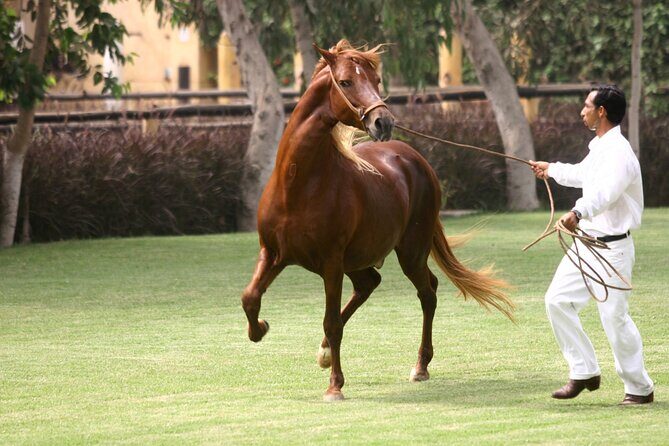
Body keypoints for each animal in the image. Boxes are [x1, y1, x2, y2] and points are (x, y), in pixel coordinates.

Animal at [241, 39, 515, 401]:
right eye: (345, 82)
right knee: (370, 284)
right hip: (358, 261)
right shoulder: (273, 253)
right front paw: (259, 330)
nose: (383, 122)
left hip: (410, 252)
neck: (298, 185)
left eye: (377, 81)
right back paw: (326, 352)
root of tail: (416, 160)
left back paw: (420, 367)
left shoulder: (331, 262)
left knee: (427, 292)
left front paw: (335, 387)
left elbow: (331, 321)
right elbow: (250, 297)